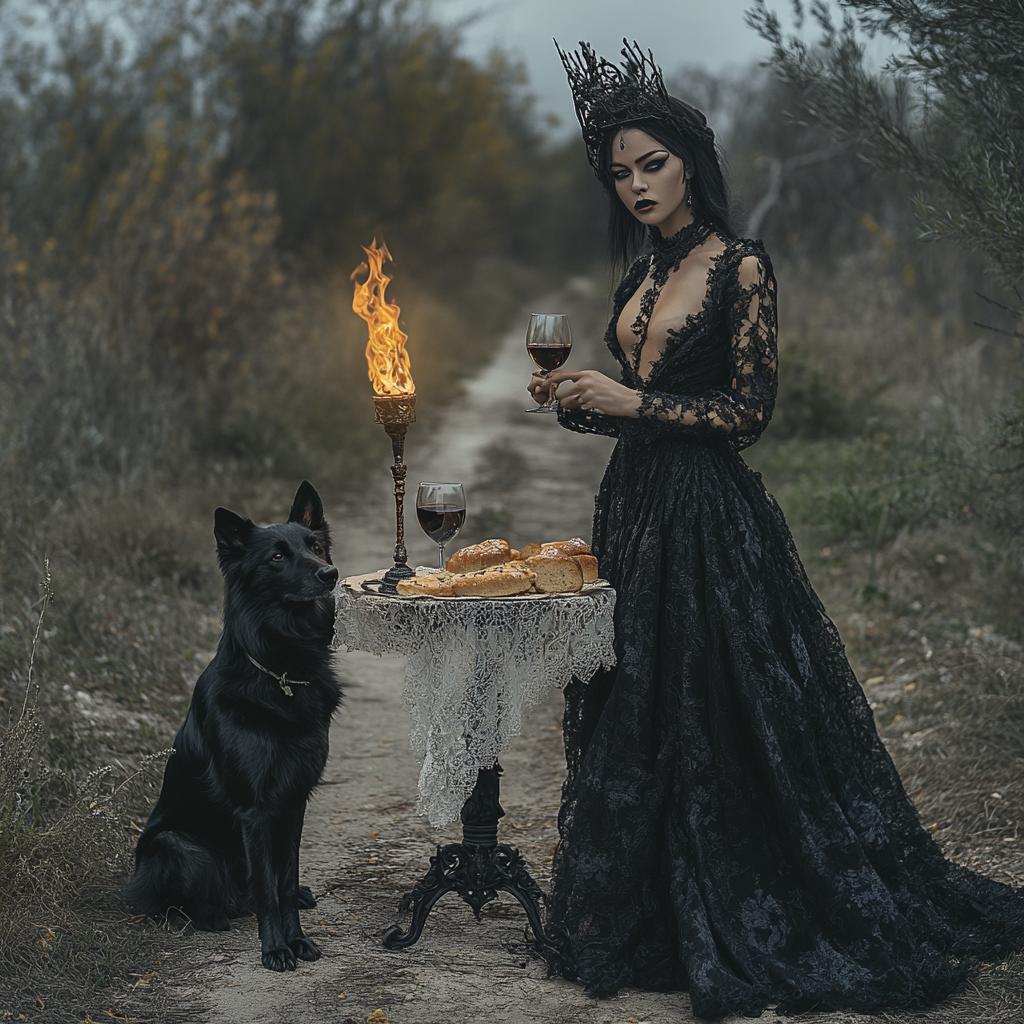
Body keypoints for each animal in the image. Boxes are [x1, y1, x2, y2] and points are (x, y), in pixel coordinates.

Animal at [125, 475, 342, 970]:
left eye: (316, 547)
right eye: (276, 557)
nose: (330, 574)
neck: (281, 670)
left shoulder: (294, 801)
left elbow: (283, 882)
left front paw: (297, 939)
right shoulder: (254, 808)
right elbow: (266, 889)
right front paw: (276, 948)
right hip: (175, 846)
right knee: (180, 902)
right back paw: (209, 916)